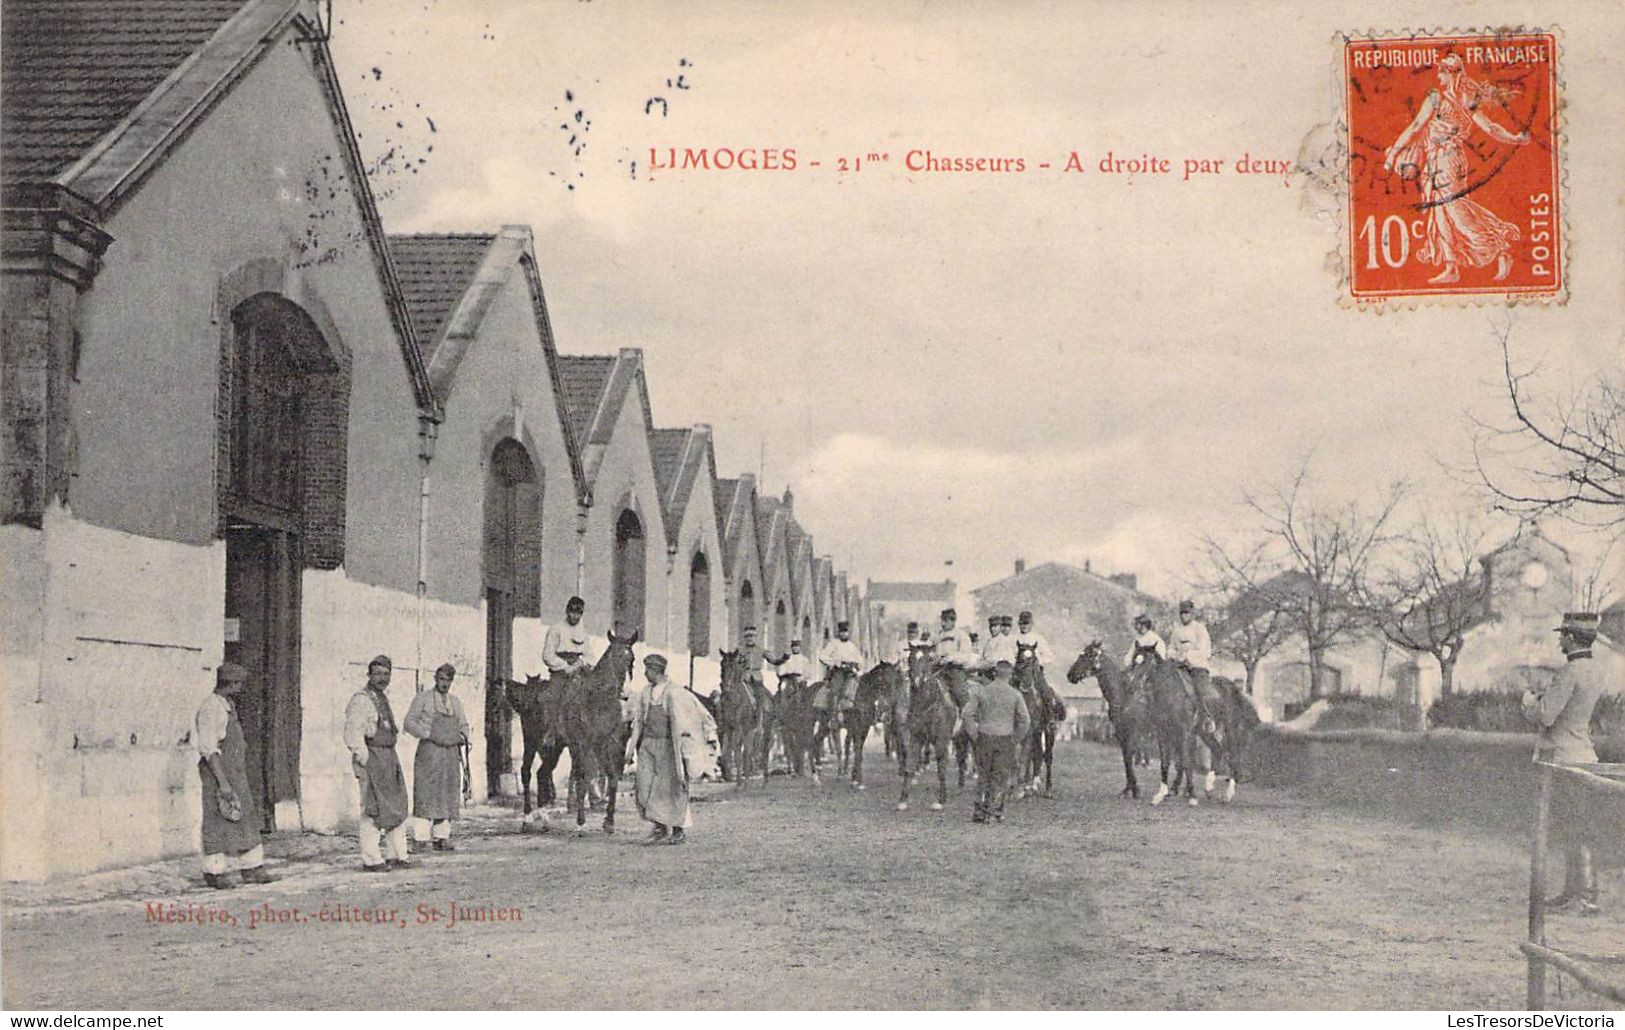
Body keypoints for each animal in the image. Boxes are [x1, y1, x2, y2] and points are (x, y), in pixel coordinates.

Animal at [555, 627, 637, 831]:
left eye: (632, 658)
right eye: (614, 656)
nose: (625, 693)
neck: (598, 701)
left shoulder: (610, 743)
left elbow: (612, 776)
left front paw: (609, 821)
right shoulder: (581, 742)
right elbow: (584, 777)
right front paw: (581, 820)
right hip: (572, 745)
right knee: (576, 773)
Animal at [897, 646, 955, 805]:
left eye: (929, 659)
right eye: (910, 658)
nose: (917, 681)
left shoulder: (940, 740)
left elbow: (941, 769)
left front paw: (941, 799)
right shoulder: (915, 737)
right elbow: (909, 766)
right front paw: (903, 799)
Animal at [1066, 636, 1157, 799]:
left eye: (1088, 655)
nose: (1070, 675)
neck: (1124, 694)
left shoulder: (1133, 732)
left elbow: (1129, 755)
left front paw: (1135, 789)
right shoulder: (1121, 733)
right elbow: (1126, 758)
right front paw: (1128, 789)